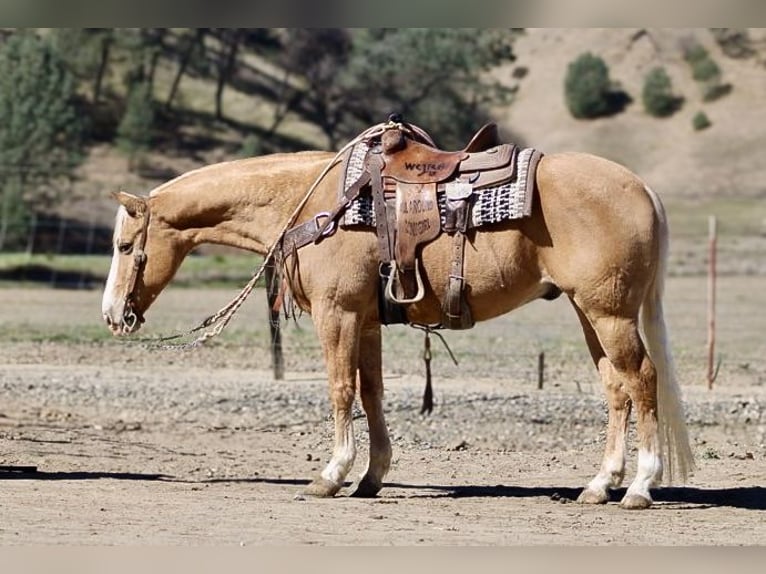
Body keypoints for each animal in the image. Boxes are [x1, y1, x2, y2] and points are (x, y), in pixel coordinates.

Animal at [101, 124, 694, 509]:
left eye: (126, 245)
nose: (112, 315)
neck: (312, 203)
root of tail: (642, 188)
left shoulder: (337, 313)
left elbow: (340, 389)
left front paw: (331, 474)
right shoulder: (365, 319)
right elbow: (371, 393)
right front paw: (371, 476)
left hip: (610, 312)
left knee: (642, 379)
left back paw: (640, 488)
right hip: (589, 311)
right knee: (616, 388)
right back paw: (598, 486)